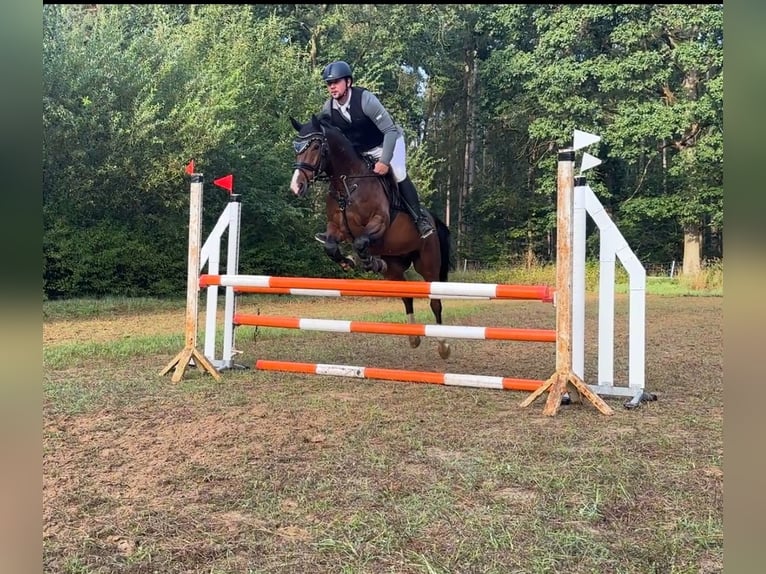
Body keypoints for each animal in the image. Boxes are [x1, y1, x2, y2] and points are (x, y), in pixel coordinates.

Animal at [290, 115, 456, 360]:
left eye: (316, 146)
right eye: (296, 148)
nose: (296, 186)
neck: (347, 182)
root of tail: (433, 219)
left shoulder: (378, 222)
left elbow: (361, 242)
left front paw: (367, 261)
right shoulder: (337, 229)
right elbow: (330, 246)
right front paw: (349, 261)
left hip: (428, 264)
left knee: (435, 301)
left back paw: (443, 345)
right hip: (395, 267)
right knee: (406, 295)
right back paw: (413, 337)